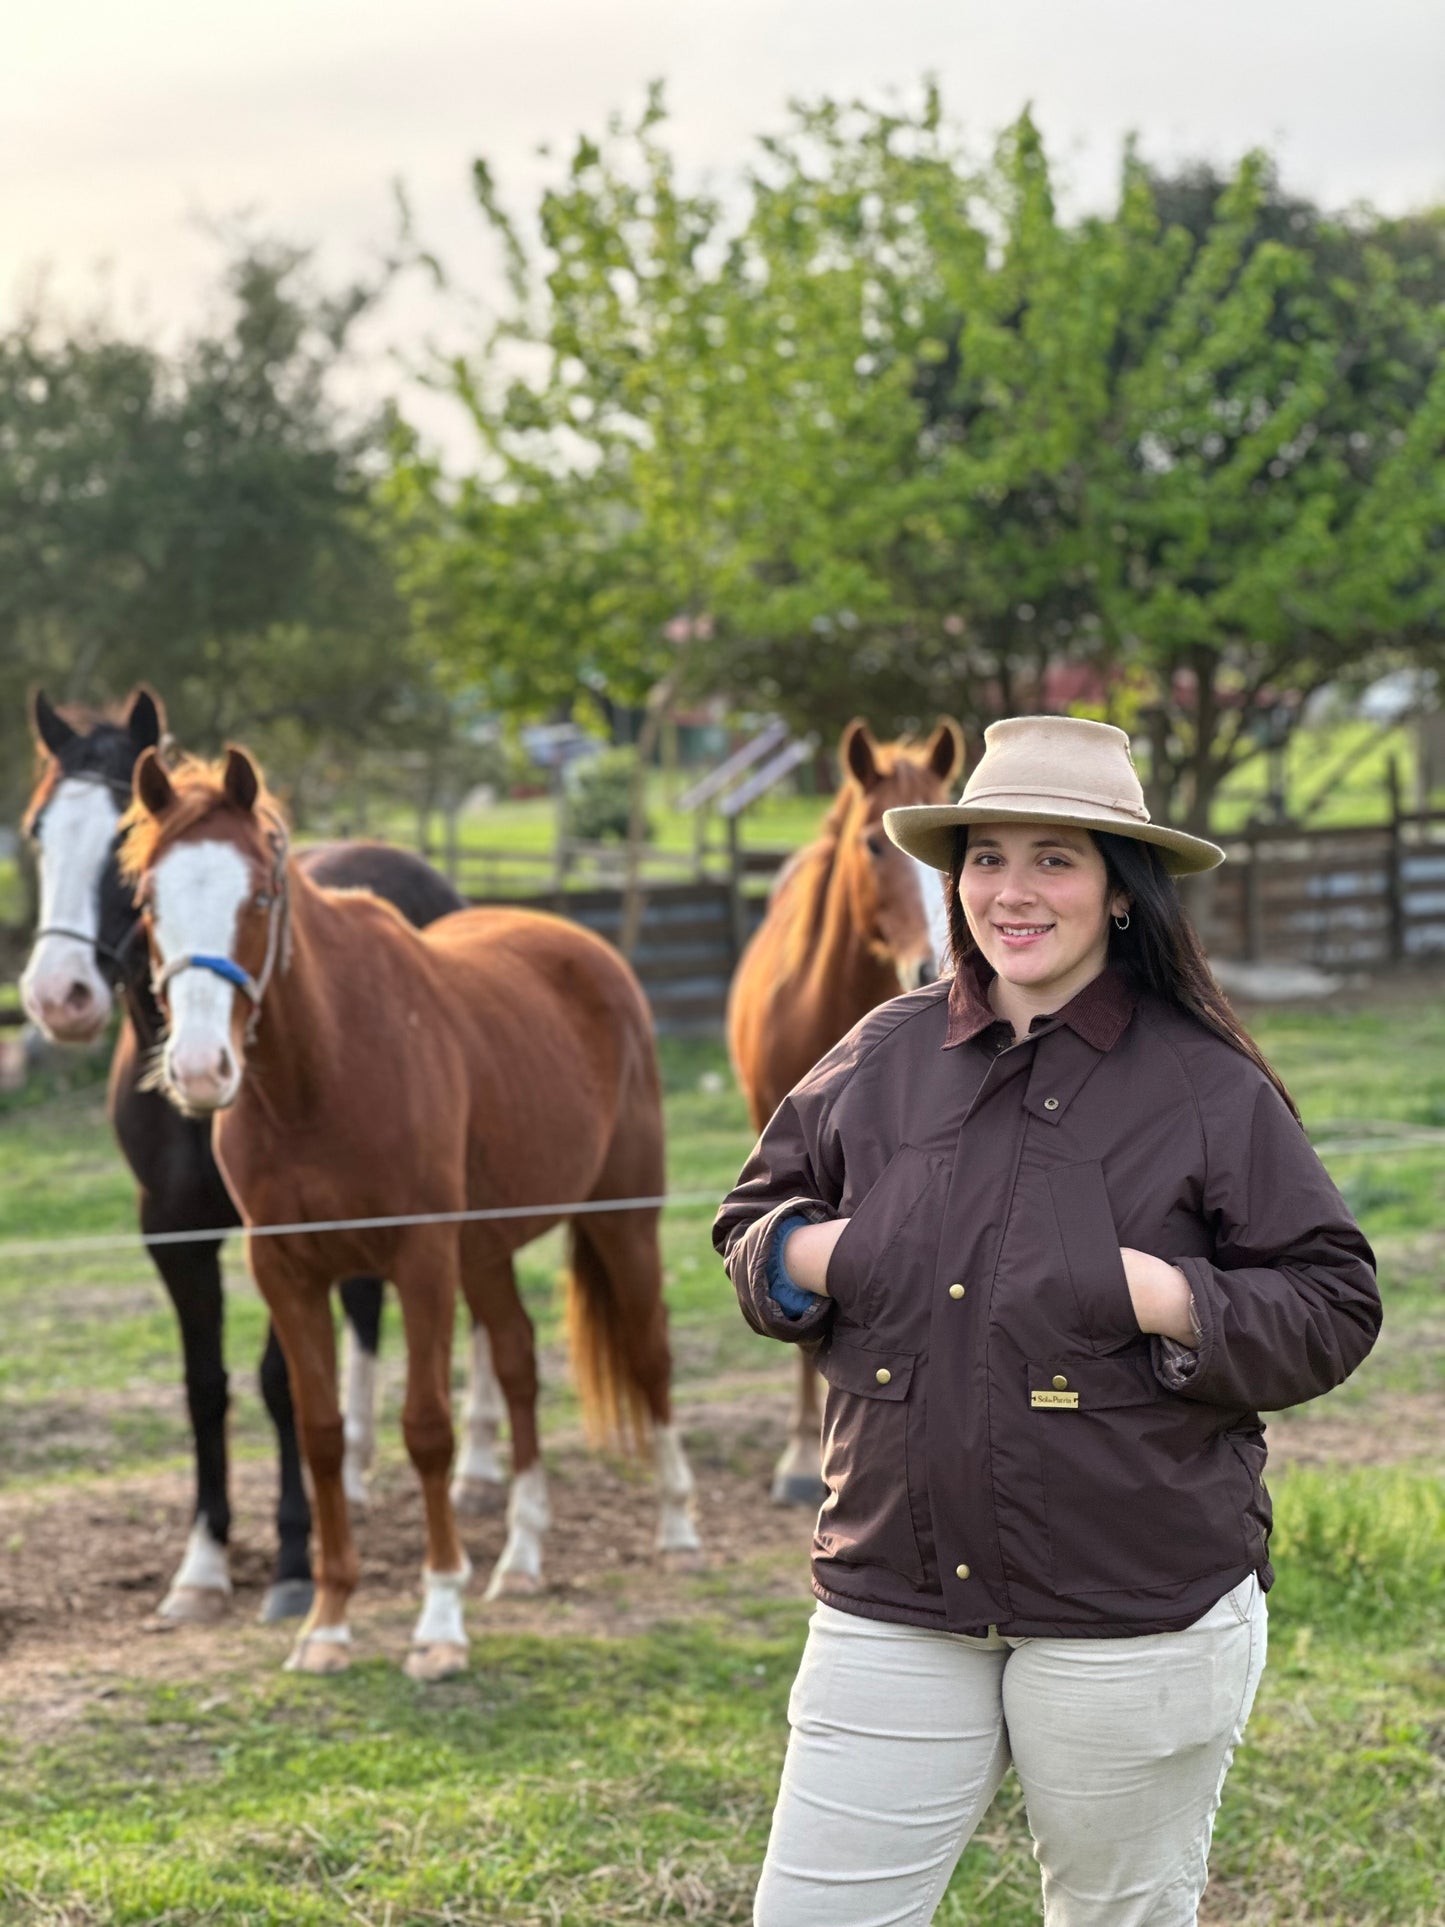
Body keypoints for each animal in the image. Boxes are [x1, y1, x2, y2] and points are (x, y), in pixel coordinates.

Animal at [16, 693, 508, 1626]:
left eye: (120, 843)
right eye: (36, 833)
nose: (58, 995)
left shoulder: (274, 1232)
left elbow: (282, 1384)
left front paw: (289, 1559)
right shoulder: (171, 1233)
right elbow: (204, 1385)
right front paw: (202, 1563)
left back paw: (475, 1466)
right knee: (365, 1310)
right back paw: (358, 1470)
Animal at [124, 743, 701, 1680]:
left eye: (260, 896)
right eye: (148, 901)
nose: (202, 1068)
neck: (325, 1072)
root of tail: (589, 952)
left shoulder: (421, 1259)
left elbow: (426, 1429)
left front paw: (437, 1622)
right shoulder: (285, 1269)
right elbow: (322, 1433)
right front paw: (327, 1622)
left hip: (624, 1220)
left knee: (649, 1354)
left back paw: (678, 1529)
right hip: (488, 1248)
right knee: (518, 1362)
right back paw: (522, 1556)